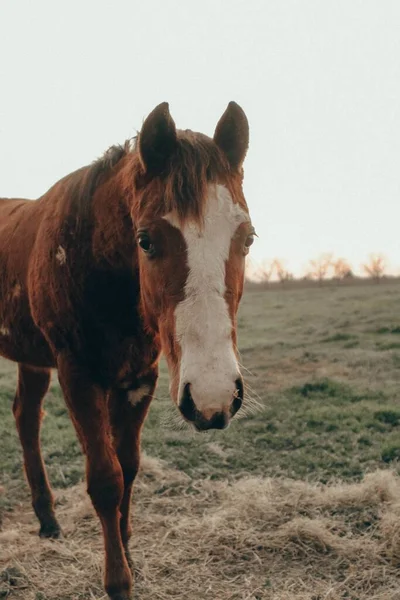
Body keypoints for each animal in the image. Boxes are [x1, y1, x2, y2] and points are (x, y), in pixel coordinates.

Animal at [0, 103, 255, 600]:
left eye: (248, 238)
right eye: (146, 241)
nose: (214, 396)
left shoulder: (139, 378)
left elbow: (129, 467)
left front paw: (129, 552)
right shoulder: (78, 376)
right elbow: (105, 478)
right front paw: (117, 581)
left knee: (26, 417)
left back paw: (47, 518)